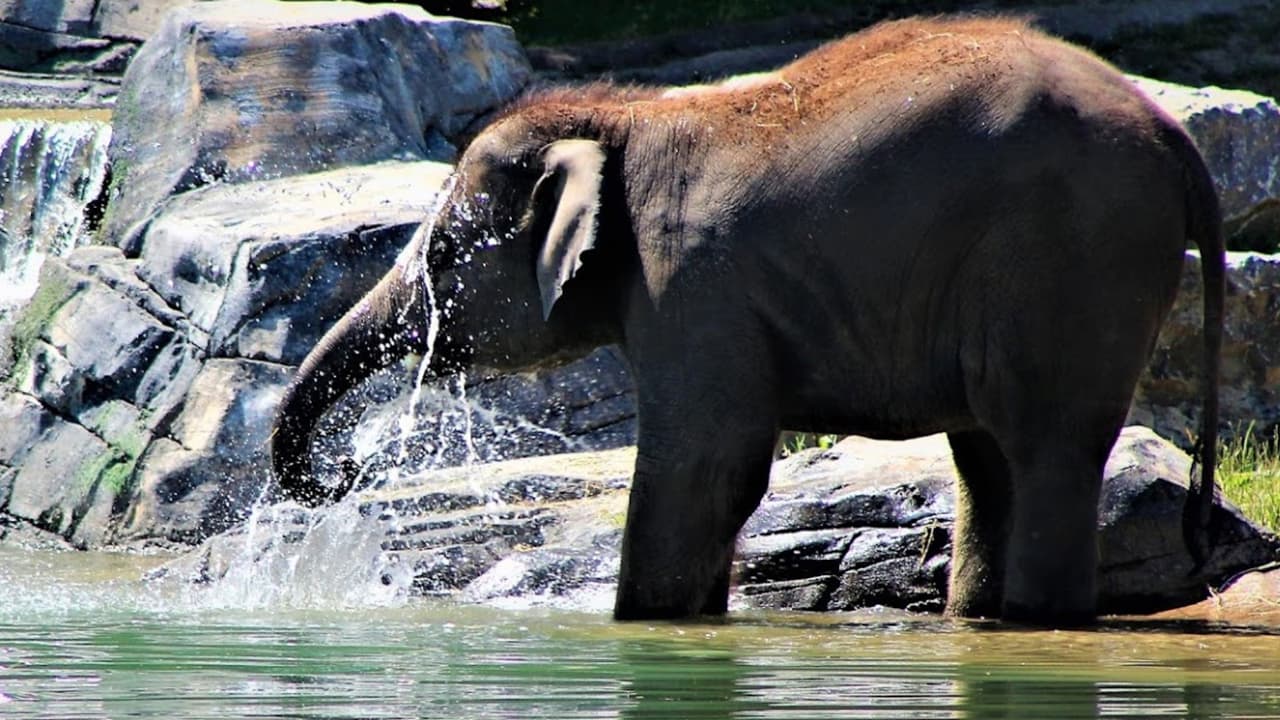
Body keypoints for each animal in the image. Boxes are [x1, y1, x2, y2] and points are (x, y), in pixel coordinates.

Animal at [272, 15, 1224, 625]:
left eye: (440, 258)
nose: (344, 474)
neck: (625, 117)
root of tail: (1174, 134)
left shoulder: (692, 284)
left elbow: (704, 468)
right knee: (992, 460)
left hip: (1069, 257)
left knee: (1044, 446)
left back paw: (1036, 623)